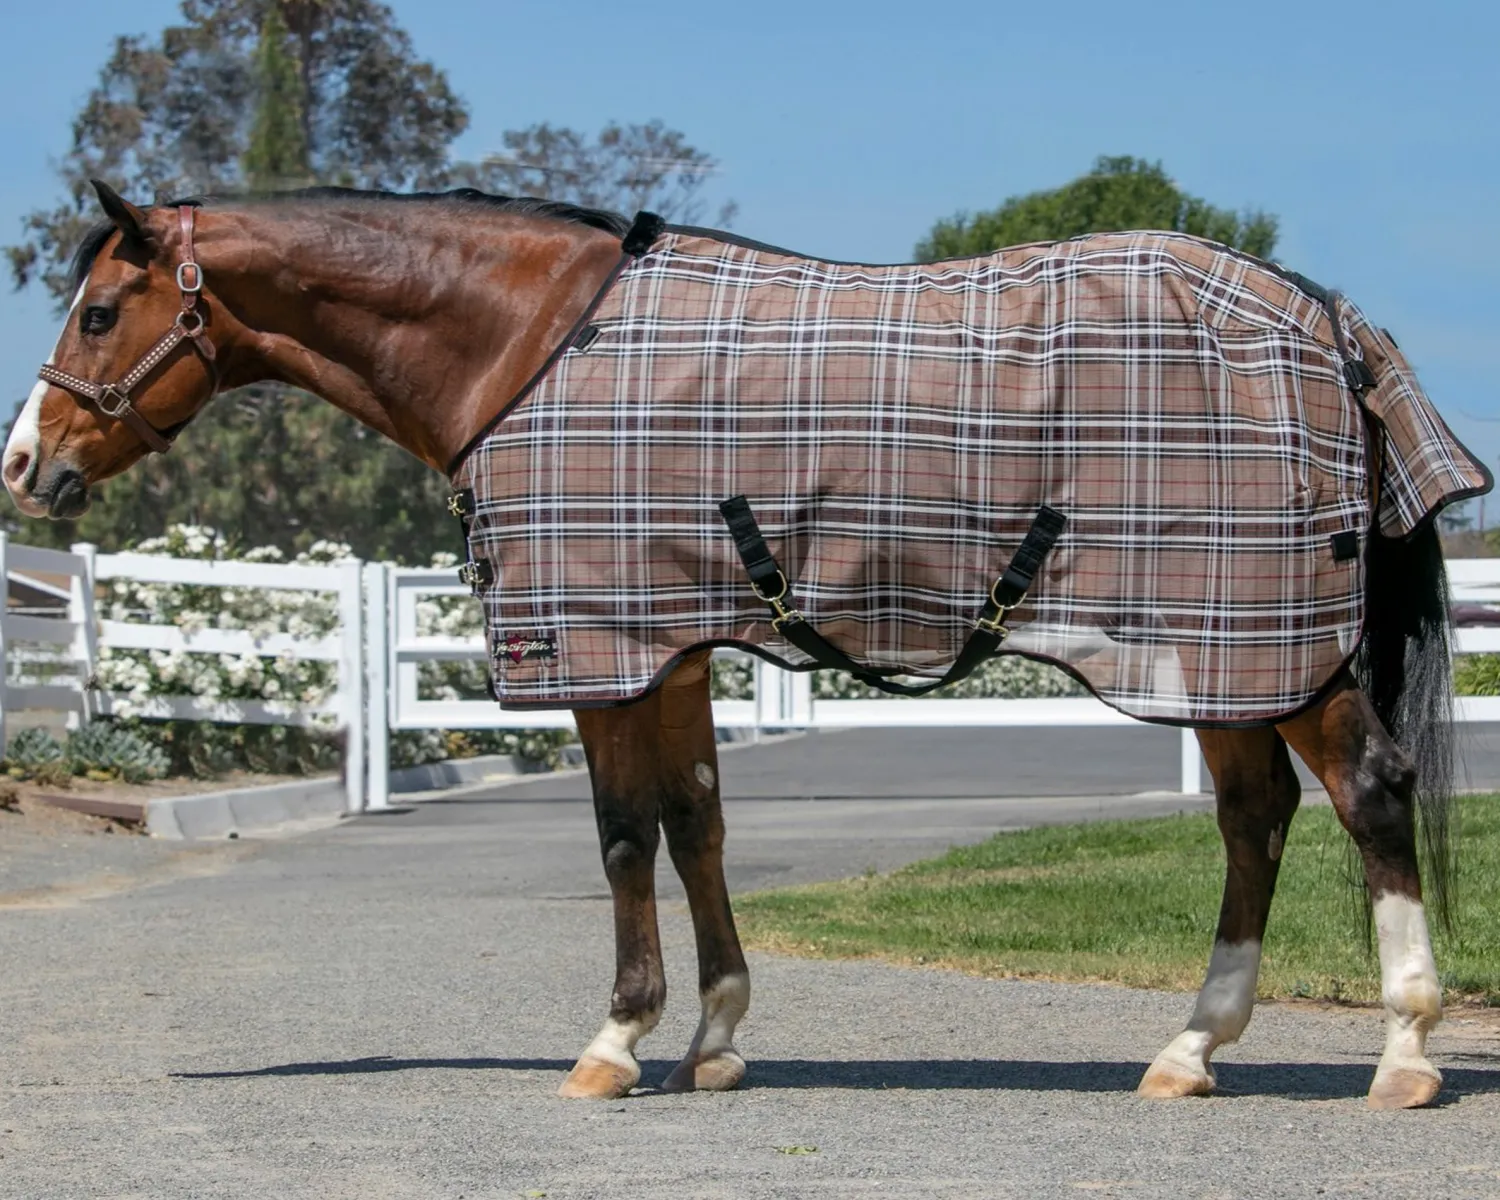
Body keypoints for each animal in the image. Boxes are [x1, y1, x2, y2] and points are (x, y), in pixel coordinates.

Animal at [4, 181, 1486, 1110]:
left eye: (97, 313)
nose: (25, 466)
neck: (530, 347)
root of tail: (1324, 318)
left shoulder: (600, 649)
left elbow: (622, 837)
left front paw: (614, 1042)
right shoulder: (667, 645)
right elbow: (697, 823)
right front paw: (713, 1041)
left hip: (1260, 643)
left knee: (1367, 793)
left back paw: (1404, 1054)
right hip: (1227, 652)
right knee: (1256, 817)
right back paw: (1188, 1047)